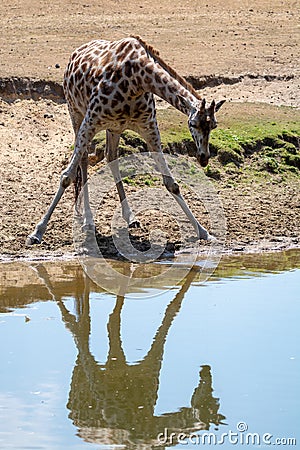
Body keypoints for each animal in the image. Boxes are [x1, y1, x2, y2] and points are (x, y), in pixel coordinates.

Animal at [26, 34, 225, 246]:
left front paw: (203, 231)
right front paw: (37, 232)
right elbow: (66, 176)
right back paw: (88, 219)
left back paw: (129, 217)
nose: (203, 158)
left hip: (113, 127)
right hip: (76, 112)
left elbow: (171, 183)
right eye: (193, 124)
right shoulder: (91, 120)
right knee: (84, 159)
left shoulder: (149, 128)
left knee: (110, 156)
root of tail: (76, 52)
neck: (137, 81)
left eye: (214, 126)